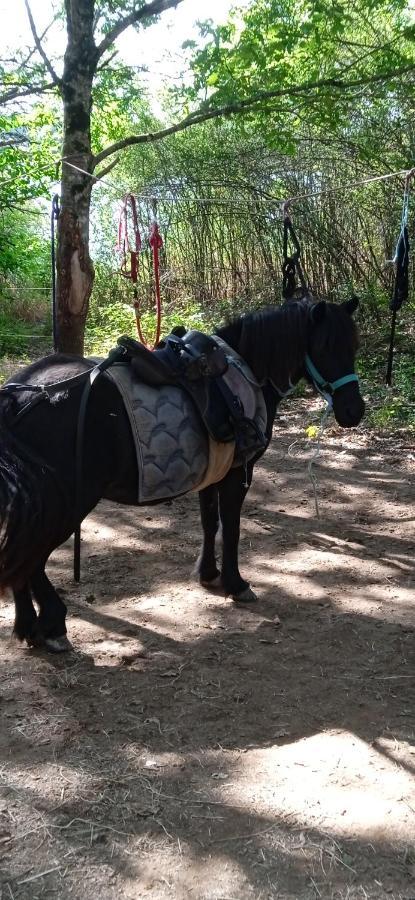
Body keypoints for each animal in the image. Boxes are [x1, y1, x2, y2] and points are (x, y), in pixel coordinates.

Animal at [0, 298, 364, 652]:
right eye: (326, 346)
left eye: (354, 345)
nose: (354, 412)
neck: (246, 370)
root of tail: (20, 395)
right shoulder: (238, 473)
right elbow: (231, 527)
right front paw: (235, 583)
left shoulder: (213, 471)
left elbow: (210, 523)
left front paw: (208, 574)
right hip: (66, 502)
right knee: (33, 559)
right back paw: (52, 625)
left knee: (23, 558)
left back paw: (28, 626)